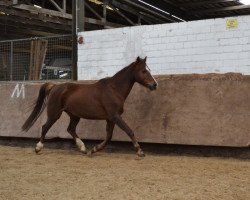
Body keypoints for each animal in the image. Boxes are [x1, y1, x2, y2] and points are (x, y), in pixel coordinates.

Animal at [22, 56, 157, 156]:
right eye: (144, 71)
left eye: (149, 70)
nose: (154, 85)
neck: (114, 90)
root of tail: (55, 86)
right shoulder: (115, 116)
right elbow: (129, 131)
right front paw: (140, 151)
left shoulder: (110, 118)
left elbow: (109, 136)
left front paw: (95, 149)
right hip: (54, 113)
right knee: (45, 127)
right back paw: (38, 148)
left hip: (74, 115)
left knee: (70, 129)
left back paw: (83, 148)